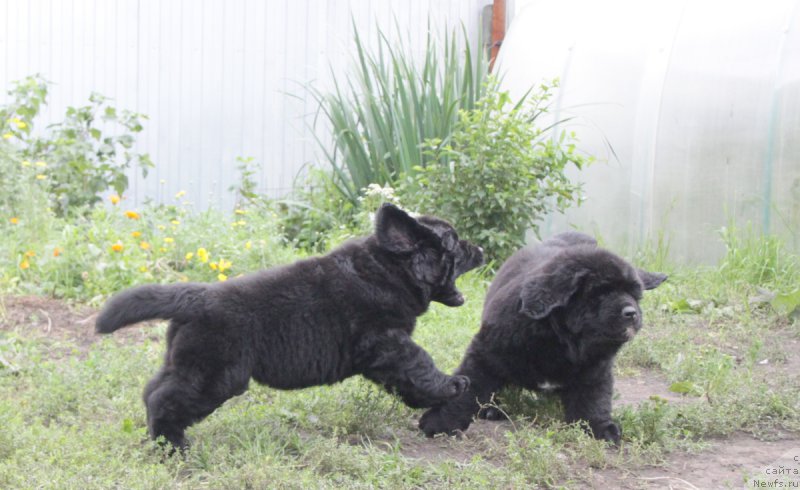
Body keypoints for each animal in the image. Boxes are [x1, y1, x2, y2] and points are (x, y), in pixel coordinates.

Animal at [95, 204, 482, 452]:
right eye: (454, 242)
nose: (479, 249)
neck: (390, 269)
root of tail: (196, 297)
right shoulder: (388, 343)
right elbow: (419, 364)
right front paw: (451, 385)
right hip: (214, 376)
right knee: (164, 399)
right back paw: (172, 446)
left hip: (186, 364)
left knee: (153, 390)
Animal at [422, 232, 664, 442]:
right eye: (601, 293)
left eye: (634, 294)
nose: (631, 313)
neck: (559, 341)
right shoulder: (486, 353)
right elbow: (468, 389)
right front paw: (440, 422)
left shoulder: (595, 368)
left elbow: (594, 399)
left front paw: (600, 428)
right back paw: (491, 409)